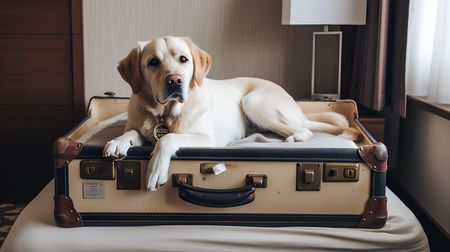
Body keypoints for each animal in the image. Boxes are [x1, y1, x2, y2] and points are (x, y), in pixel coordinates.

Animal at [103, 36, 360, 191]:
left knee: (305, 130)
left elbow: (167, 139)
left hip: (253, 102)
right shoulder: (140, 126)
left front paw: (156, 168)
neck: (166, 112)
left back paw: (295, 137)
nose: (175, 80)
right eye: (153, 62)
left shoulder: (206, 139)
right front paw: (117, 141)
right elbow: (132, 133)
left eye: (183, 59)